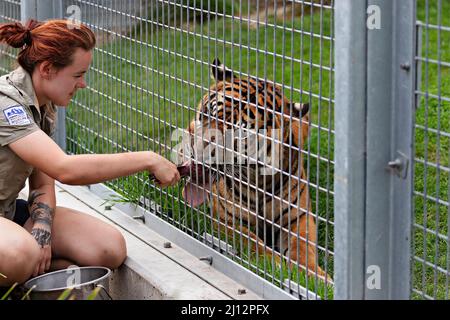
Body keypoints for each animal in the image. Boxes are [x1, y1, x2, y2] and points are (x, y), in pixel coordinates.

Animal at [178, 58, 328, 280]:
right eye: (207, 113)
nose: (196, 153)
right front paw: (276, 264)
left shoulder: (299, 217)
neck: (259, 179)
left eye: (239, 133)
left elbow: (302, 247)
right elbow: (251, 240)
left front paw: (316, 278)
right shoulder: (224, 220)